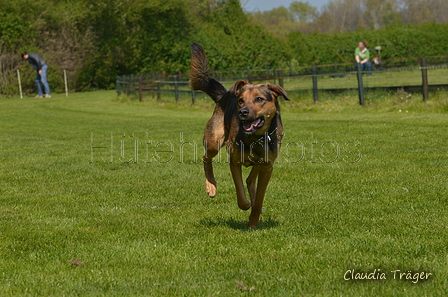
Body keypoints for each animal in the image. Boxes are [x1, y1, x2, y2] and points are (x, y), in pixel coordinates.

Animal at [190, 42, 290, 227]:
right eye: (241, 100)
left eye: (259, 99)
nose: (243, 112)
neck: (255, 137)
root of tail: (224, 95)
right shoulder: (234, 161)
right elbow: (241, 195)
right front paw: (247, 206)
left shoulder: (267, 166)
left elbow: (259, 198)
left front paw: (253, 221)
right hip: (214, 140)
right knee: (205, 157)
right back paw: (211, 186)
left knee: (250, 180)